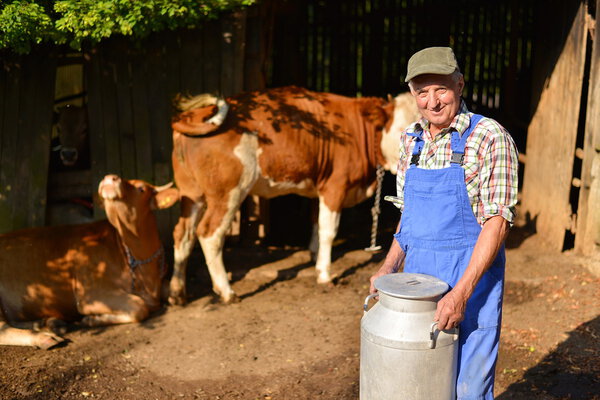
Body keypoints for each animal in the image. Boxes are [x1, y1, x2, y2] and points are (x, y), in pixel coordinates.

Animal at [0, 174, 178, 346]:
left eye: (141, 188)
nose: (110, 178)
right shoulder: (90, 294)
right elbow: (139, 306)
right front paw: (92, 320)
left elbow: (169, 289)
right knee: (4, 329)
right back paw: (44, 337)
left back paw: (50, 323)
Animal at [166, 87, 420, 304]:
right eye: (403, 131)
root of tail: (195, 114)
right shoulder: (335, 186)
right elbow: (328, 231)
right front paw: (324, 273)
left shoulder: (320, 185)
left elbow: (315, 222)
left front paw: (314, 256)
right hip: (228, 192)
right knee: (209, 234)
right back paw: (226, 291)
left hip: (191, 194)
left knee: (182, 234)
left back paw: (177, 293)